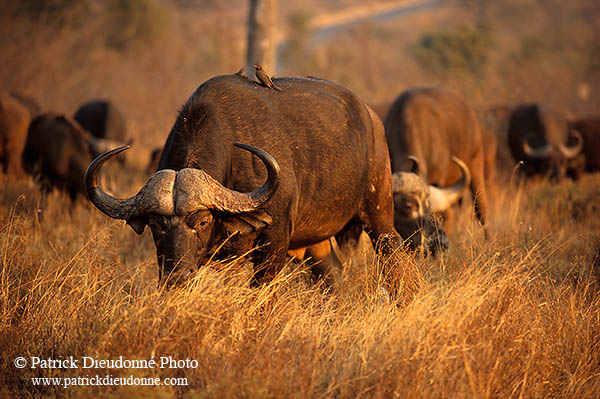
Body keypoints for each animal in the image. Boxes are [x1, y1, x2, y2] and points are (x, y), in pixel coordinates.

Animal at [84, 74, 400, 288]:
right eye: (156, 225)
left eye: (202, 222)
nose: (177, 277)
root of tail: (372, 117)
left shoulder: (275, 242)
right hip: (316, 239)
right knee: (331, 271)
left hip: (378, 212)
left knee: (392, 253)